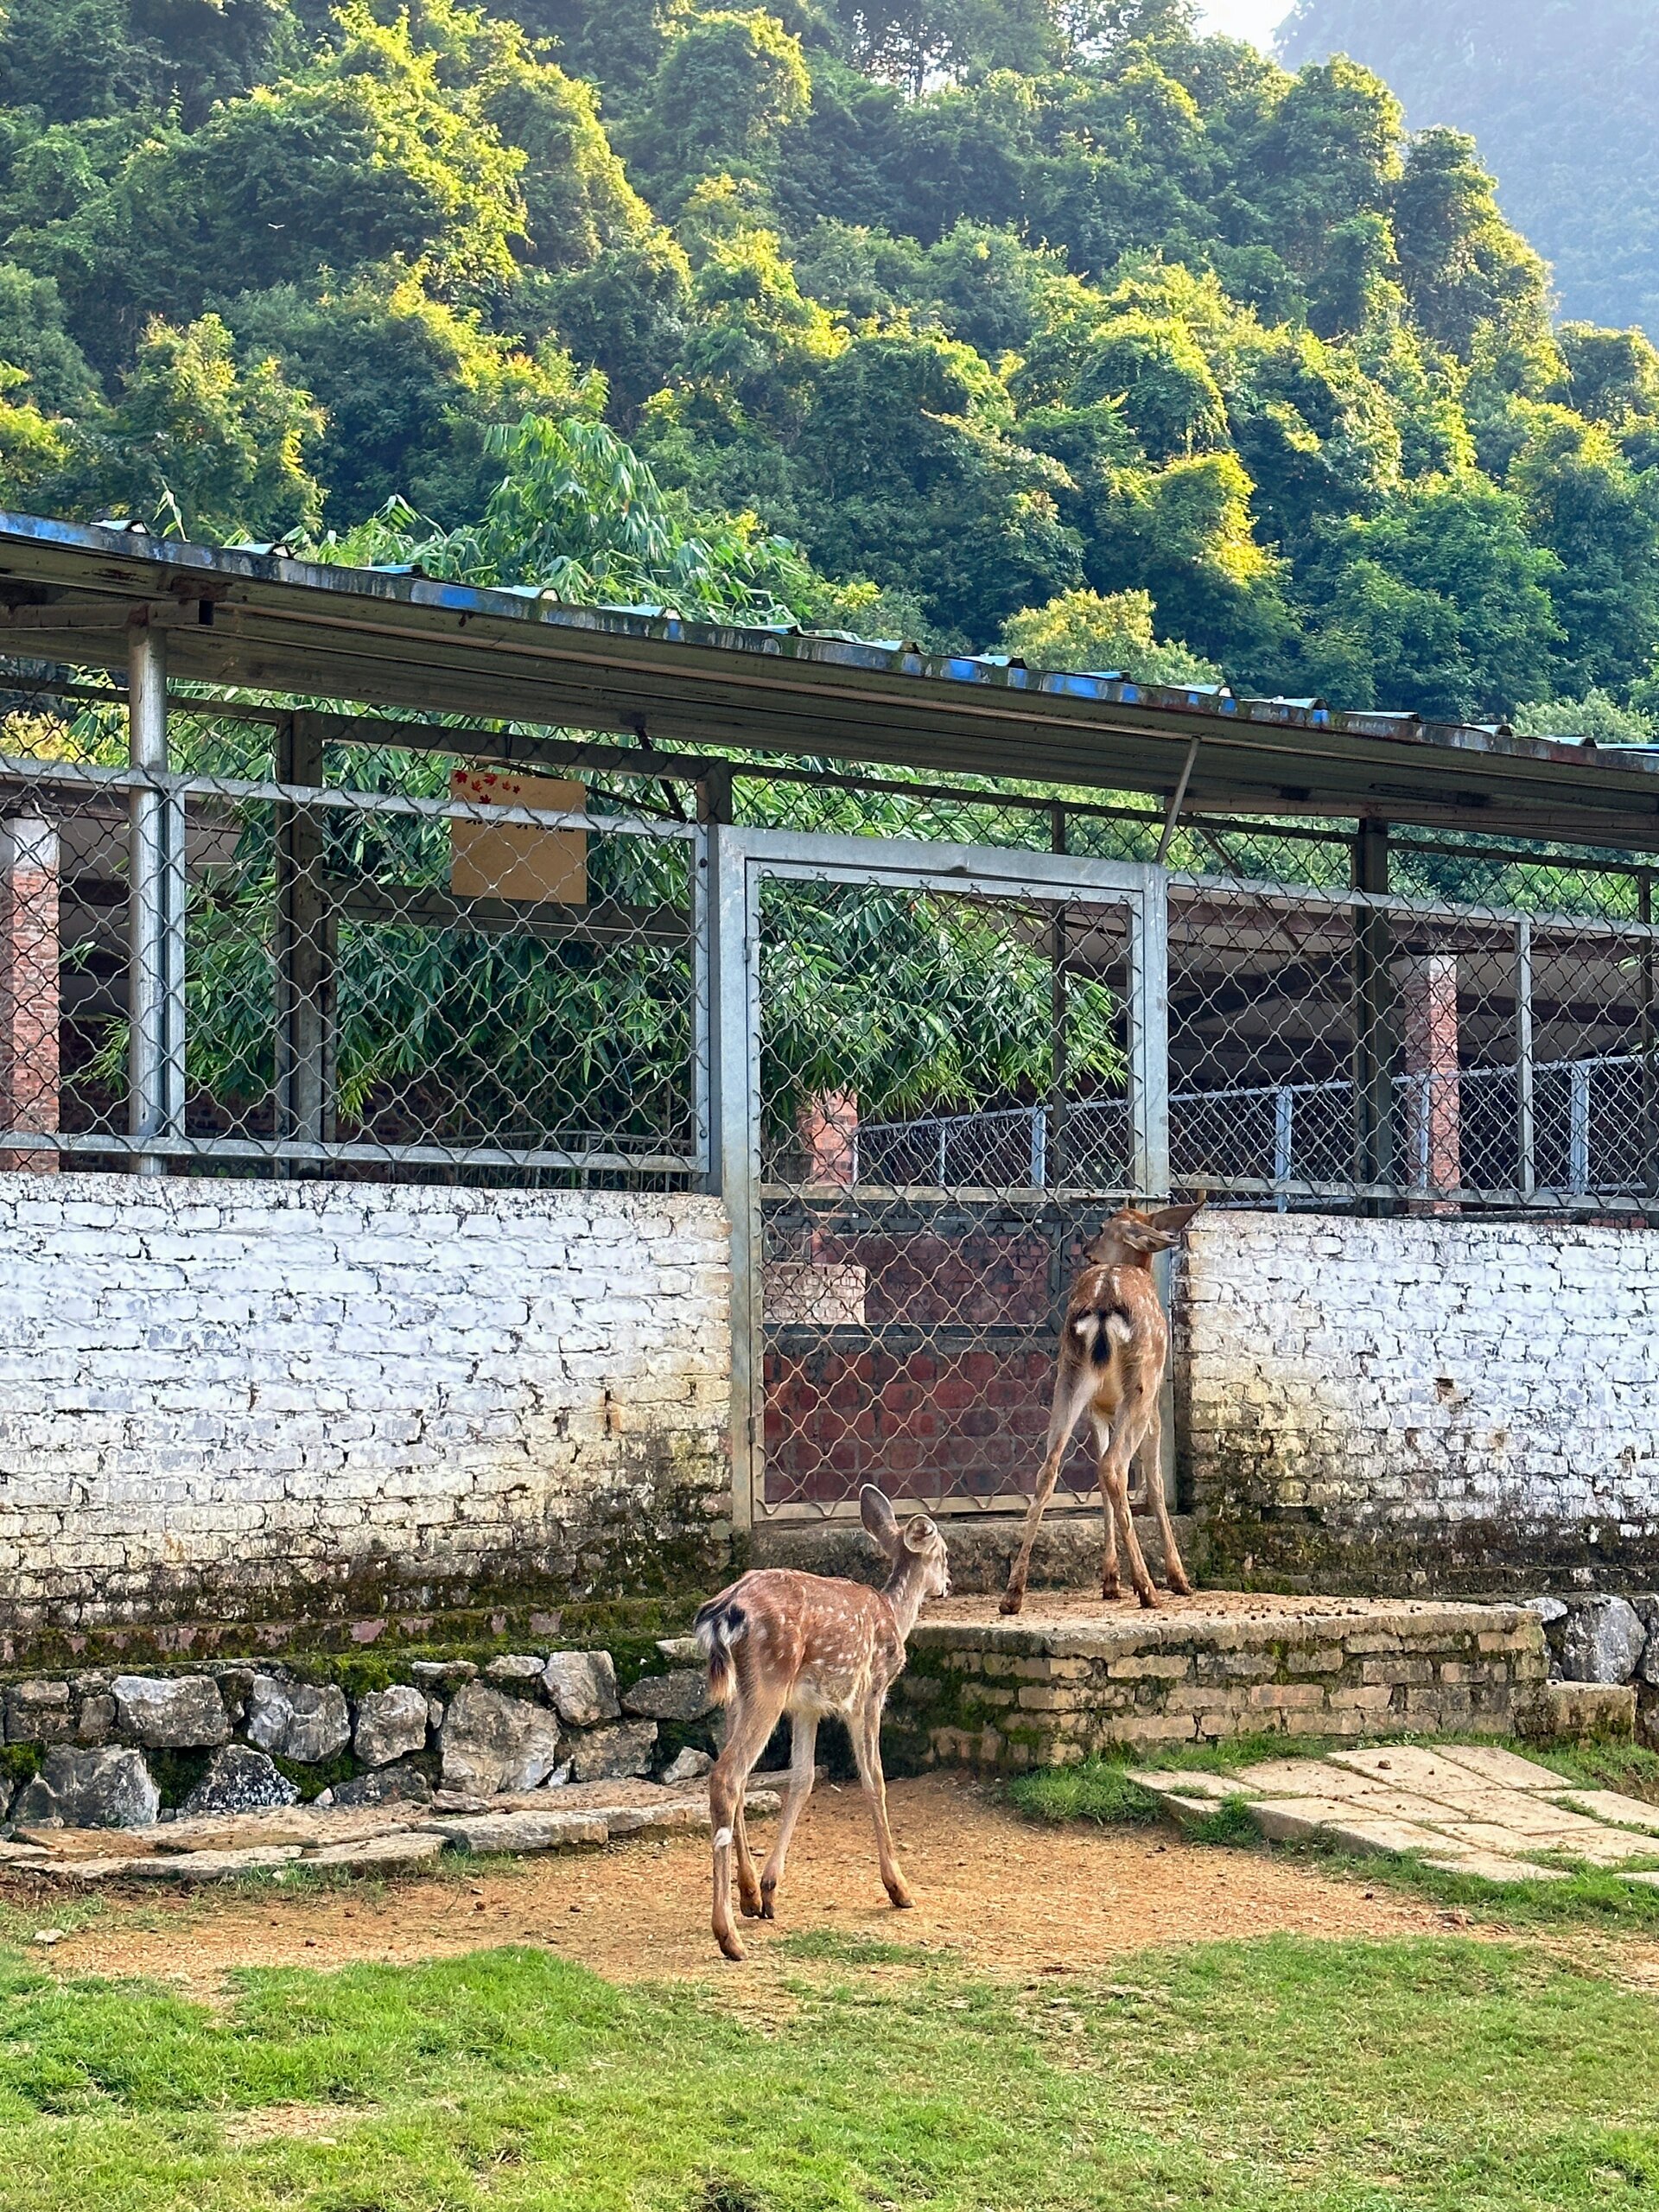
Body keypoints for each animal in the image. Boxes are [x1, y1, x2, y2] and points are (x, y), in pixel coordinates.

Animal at [690, 1495, 946, 1964]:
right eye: (944, 1553)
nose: (947, 1583)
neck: (895, 1616)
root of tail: (724, 1612)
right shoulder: (869, 1693)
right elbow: (875, 1779)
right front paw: (899, 1888)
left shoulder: (807, 1708)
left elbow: (803, 1778)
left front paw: (770, 1890)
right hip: (770, 1681)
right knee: (727, 1776)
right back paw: (728, 1936)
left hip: (738, 1693)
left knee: (733, 1773)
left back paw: (748, 1896)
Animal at [1000, 1203, 1211, 1618]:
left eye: (1101, 1229)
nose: (1086, 1252)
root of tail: (1102, 1304)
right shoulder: (1154, 1411)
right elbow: (1155, 1485)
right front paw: (1178, 1579)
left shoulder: (1099, 1411)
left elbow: (1099, 1482)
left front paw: (1111, 1581)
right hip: (1141, 1386)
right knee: (1114, 1467)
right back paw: (1149, 1589)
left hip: (1069, 1380)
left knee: (1051, 1467)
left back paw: (1013, 1595)